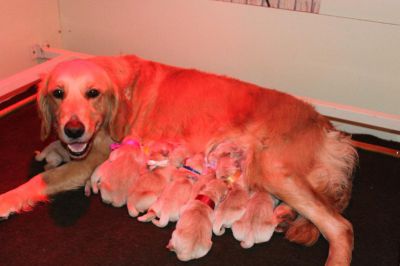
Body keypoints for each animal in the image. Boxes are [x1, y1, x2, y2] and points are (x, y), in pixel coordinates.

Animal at [0, 55, 356, 264]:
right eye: (58, 93)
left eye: (93, 93)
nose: (73, 130)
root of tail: (326, 126)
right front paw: (51, 150)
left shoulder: (94, 158)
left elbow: (39, 179)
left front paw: (8, 199)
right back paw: (282, 218)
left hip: (274, 170)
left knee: (340, 227)